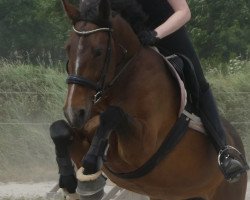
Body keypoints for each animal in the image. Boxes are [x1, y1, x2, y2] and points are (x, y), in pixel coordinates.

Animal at [58, 0, 248, 199]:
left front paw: (90, 165)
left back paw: (229, 162)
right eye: (68, 48)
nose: (73, 112)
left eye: (98, 51)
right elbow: (59, 128)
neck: (124, 78)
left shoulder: (142, 146)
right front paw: (70, 180)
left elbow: (111, 115)